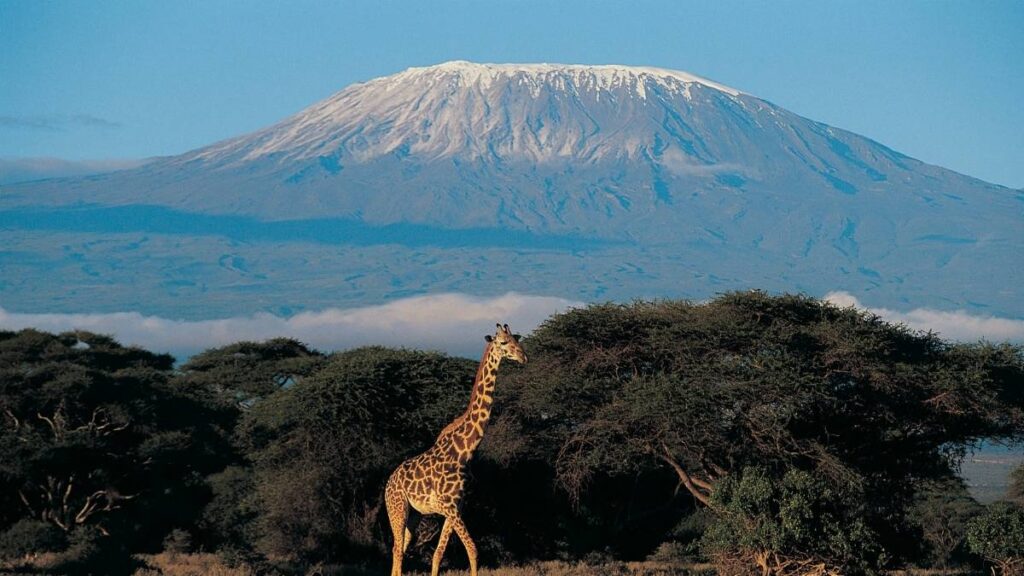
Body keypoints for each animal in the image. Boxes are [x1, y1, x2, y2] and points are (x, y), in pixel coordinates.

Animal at [384, 323, 527, 576]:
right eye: (503, 342)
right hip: (397, 508)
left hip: (414, 515)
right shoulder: (449, 507)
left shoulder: (456, 507)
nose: (523, 356)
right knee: (397, 549)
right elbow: (473, 549)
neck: (465, 451)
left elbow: (438, 555)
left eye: (516, 339)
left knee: (399, 550)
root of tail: (388, 484)